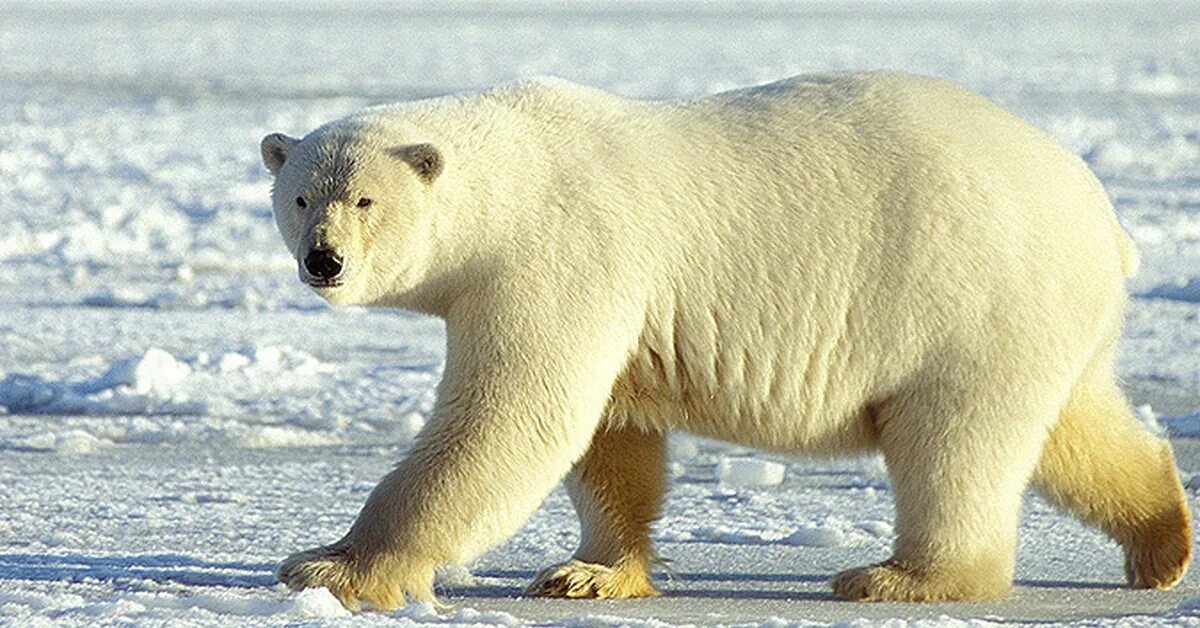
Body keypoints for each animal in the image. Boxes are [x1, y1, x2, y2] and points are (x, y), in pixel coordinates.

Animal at [258, 72, 1185, 609]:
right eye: (301, 196)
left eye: (365, 200)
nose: (323, 261)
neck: (517, 171)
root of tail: (1103, 217)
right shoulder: (608, 297)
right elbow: (611, 434)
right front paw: (592, 571)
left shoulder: (560, 257)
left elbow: (510, 419)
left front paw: (330, 567)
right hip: (1041, 316)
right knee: (1076, 429)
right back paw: (1163, 542)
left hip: (969, 298)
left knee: (954, 444)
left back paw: (901, 577)